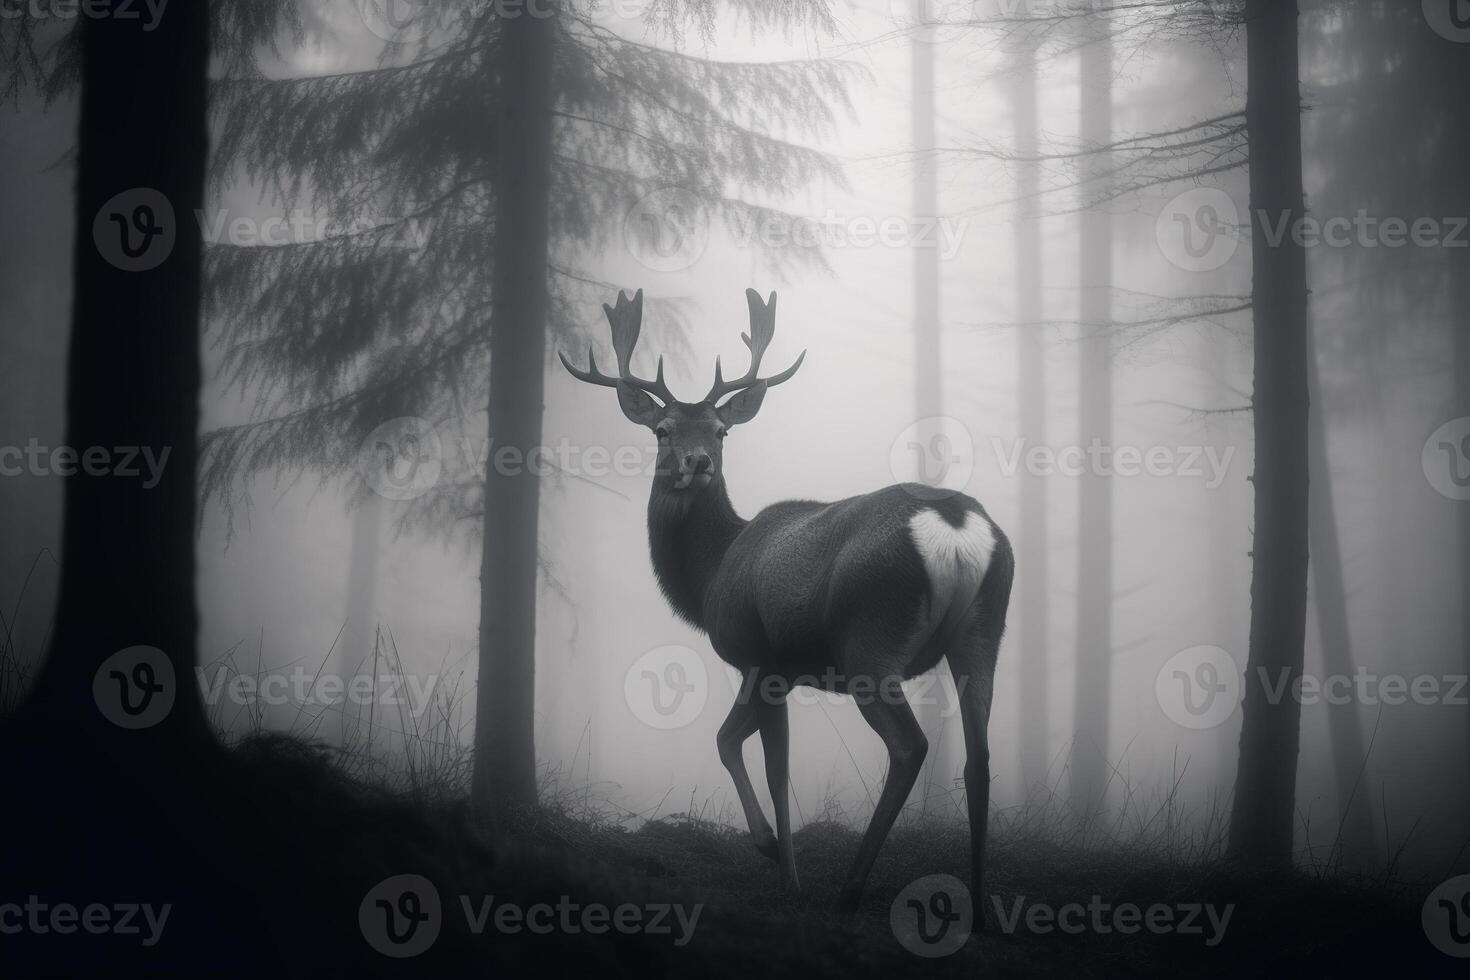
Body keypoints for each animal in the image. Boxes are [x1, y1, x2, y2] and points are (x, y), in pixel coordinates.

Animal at [555, 285, 1017, 922]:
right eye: (663, 430)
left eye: (721, 431)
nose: (697, 462)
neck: (710, 575)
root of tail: (953, 524)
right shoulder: (784, 668)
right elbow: (726, 740)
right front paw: (770, 847)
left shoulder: (759, 655)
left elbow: (771, 764)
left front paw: (784, 868)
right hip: (983, 634)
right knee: (981, 758)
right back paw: (976, 898)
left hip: (870, 640)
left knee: (909, 747)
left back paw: (850, 887)